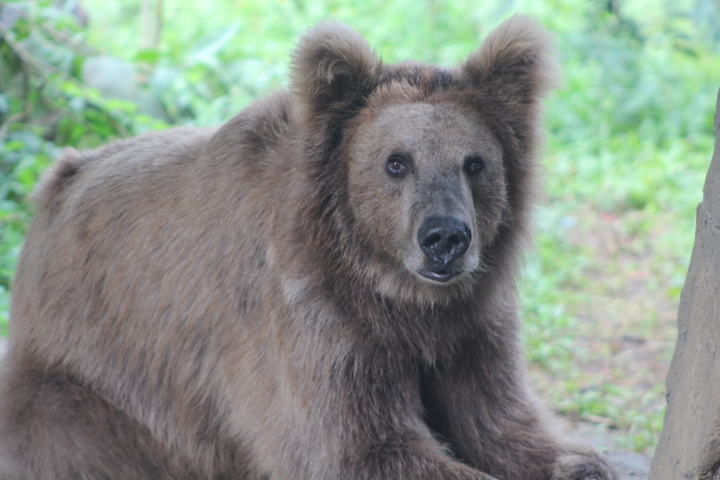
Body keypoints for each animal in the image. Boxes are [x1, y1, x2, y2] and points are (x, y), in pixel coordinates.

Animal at [0, 15, 618, 480]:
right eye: (396, 162)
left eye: (475, 163)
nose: (445, 238)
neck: (396, 298)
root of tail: (51, 190)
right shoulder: (313, 321)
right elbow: (362, 448)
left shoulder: (471, 325)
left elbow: (500, 420)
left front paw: (580, 463)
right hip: (95, 378)